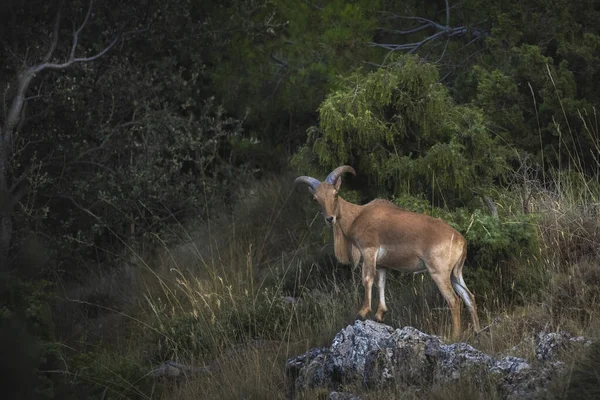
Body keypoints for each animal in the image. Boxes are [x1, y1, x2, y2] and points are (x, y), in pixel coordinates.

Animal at [296, 165, 482, 338]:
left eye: (335, 193)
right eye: (316, 199)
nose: (330, 219)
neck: (356, 217)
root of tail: (461, 240)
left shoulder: (369, 252)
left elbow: (367, 279)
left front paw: (363, 311)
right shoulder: (382, 265)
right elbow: (381, 283)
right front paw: (380, 315)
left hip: (439, 272)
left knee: (454, 300)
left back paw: (454, 336)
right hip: (455, 273)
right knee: (469, 297)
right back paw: (477, 332)